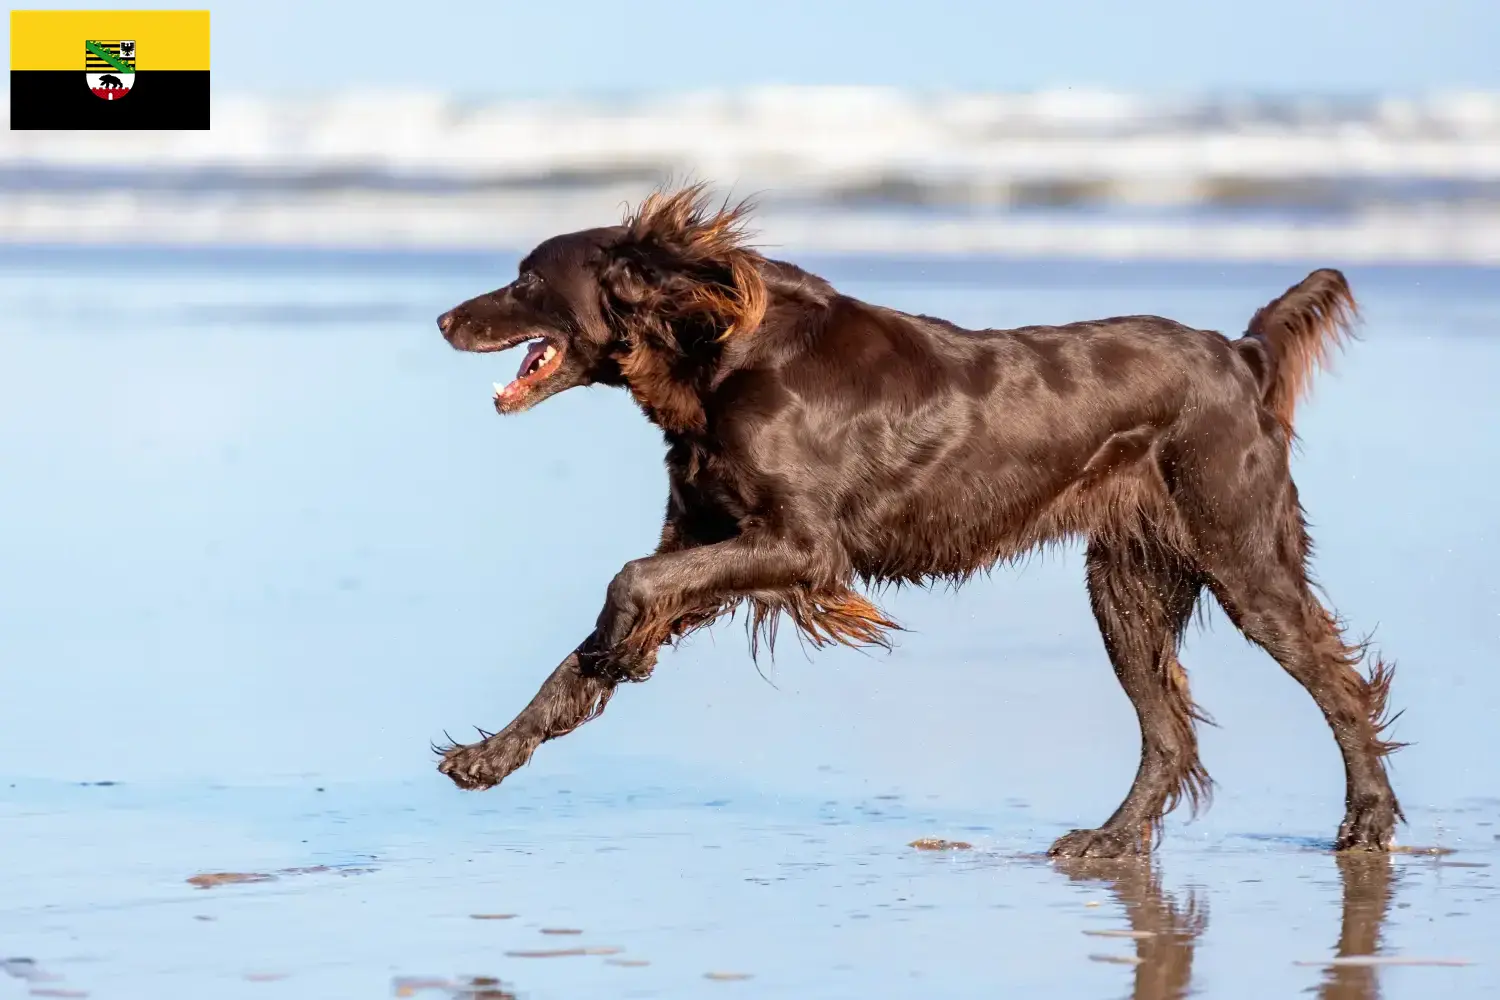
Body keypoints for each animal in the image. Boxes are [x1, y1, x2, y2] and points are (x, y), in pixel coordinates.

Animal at [429, 183, 1398, 857]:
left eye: (526, 279)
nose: (443, 317)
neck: (723, 353)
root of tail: (1240, 355)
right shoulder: (710, 538)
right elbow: (599, 632)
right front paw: (495, 752)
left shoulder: (800, 546)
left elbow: (629, 581)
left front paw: (616, 647)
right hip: (1123, 586)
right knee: (1168, 734)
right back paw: (1111, 841)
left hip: (1241, 553)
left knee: (1337, 684)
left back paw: (1369, 820)